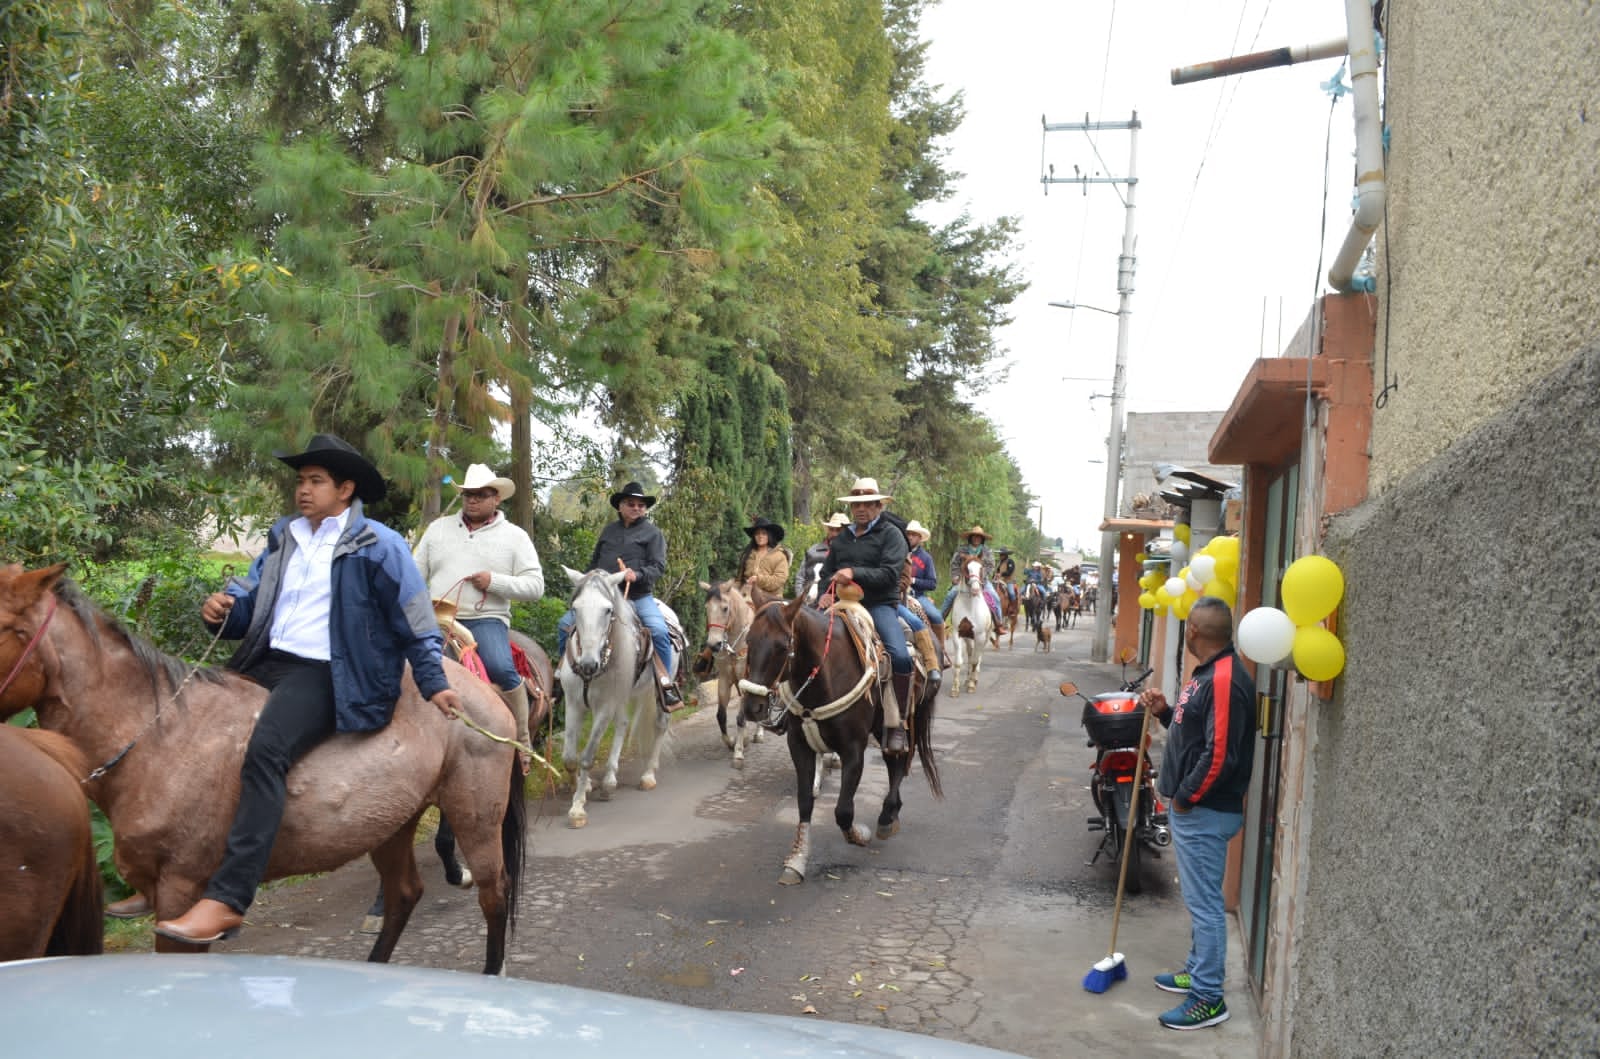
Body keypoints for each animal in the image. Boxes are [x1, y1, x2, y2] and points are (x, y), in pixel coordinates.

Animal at [556, 572, 675, 831]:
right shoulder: (574, 703)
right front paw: (584, 786)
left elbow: (587, 757)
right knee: (622, 724)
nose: (588, 664)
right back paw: (609, 781)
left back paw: (648, 775)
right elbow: (569, 757)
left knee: (660, 725)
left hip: (658, 692)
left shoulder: (605, 706)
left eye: (608, 610)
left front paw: (577, 808)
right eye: (575, 608)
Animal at [732, 591, 934, 883]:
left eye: (782, 646)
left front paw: (859, 835)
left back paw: (887, 816)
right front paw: (797, 860)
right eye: (749, 641)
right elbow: (805, 802)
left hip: (905, 721)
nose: (751, 707)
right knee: (892, 763)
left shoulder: (853, 751)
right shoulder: (799, 746)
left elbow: (843, 811)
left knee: (898, 759)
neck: (824, 676)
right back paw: (891, 812)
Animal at [947, 556, 985, 697]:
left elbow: (975, 661)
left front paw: (971, 686)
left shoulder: (980, 636)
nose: (975, 590)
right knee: (970, 653)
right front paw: (955, 689)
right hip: (969, 638)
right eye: (967, 569)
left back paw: (974, 679)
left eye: (981, 568)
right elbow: (959, 662)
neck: (969, 606)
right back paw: (968, 678)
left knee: (977, 657)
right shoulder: (957, 634)